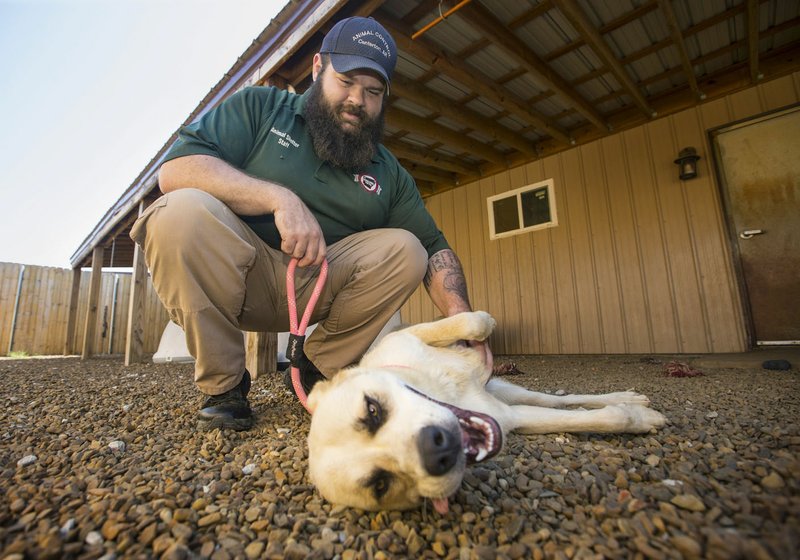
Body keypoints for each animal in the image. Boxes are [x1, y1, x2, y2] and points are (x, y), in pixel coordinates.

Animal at [304, 312, 664, 516]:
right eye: (381, 485)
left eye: (372, 409)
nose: (437, 448)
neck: (443, 387)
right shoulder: (510, 419)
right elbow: (597, 419)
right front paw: (637, 420)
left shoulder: (403, 336)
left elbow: (467, 321)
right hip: (508, 401)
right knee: (555, 405)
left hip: (507, 389)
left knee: (558, 398)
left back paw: (627, 396)